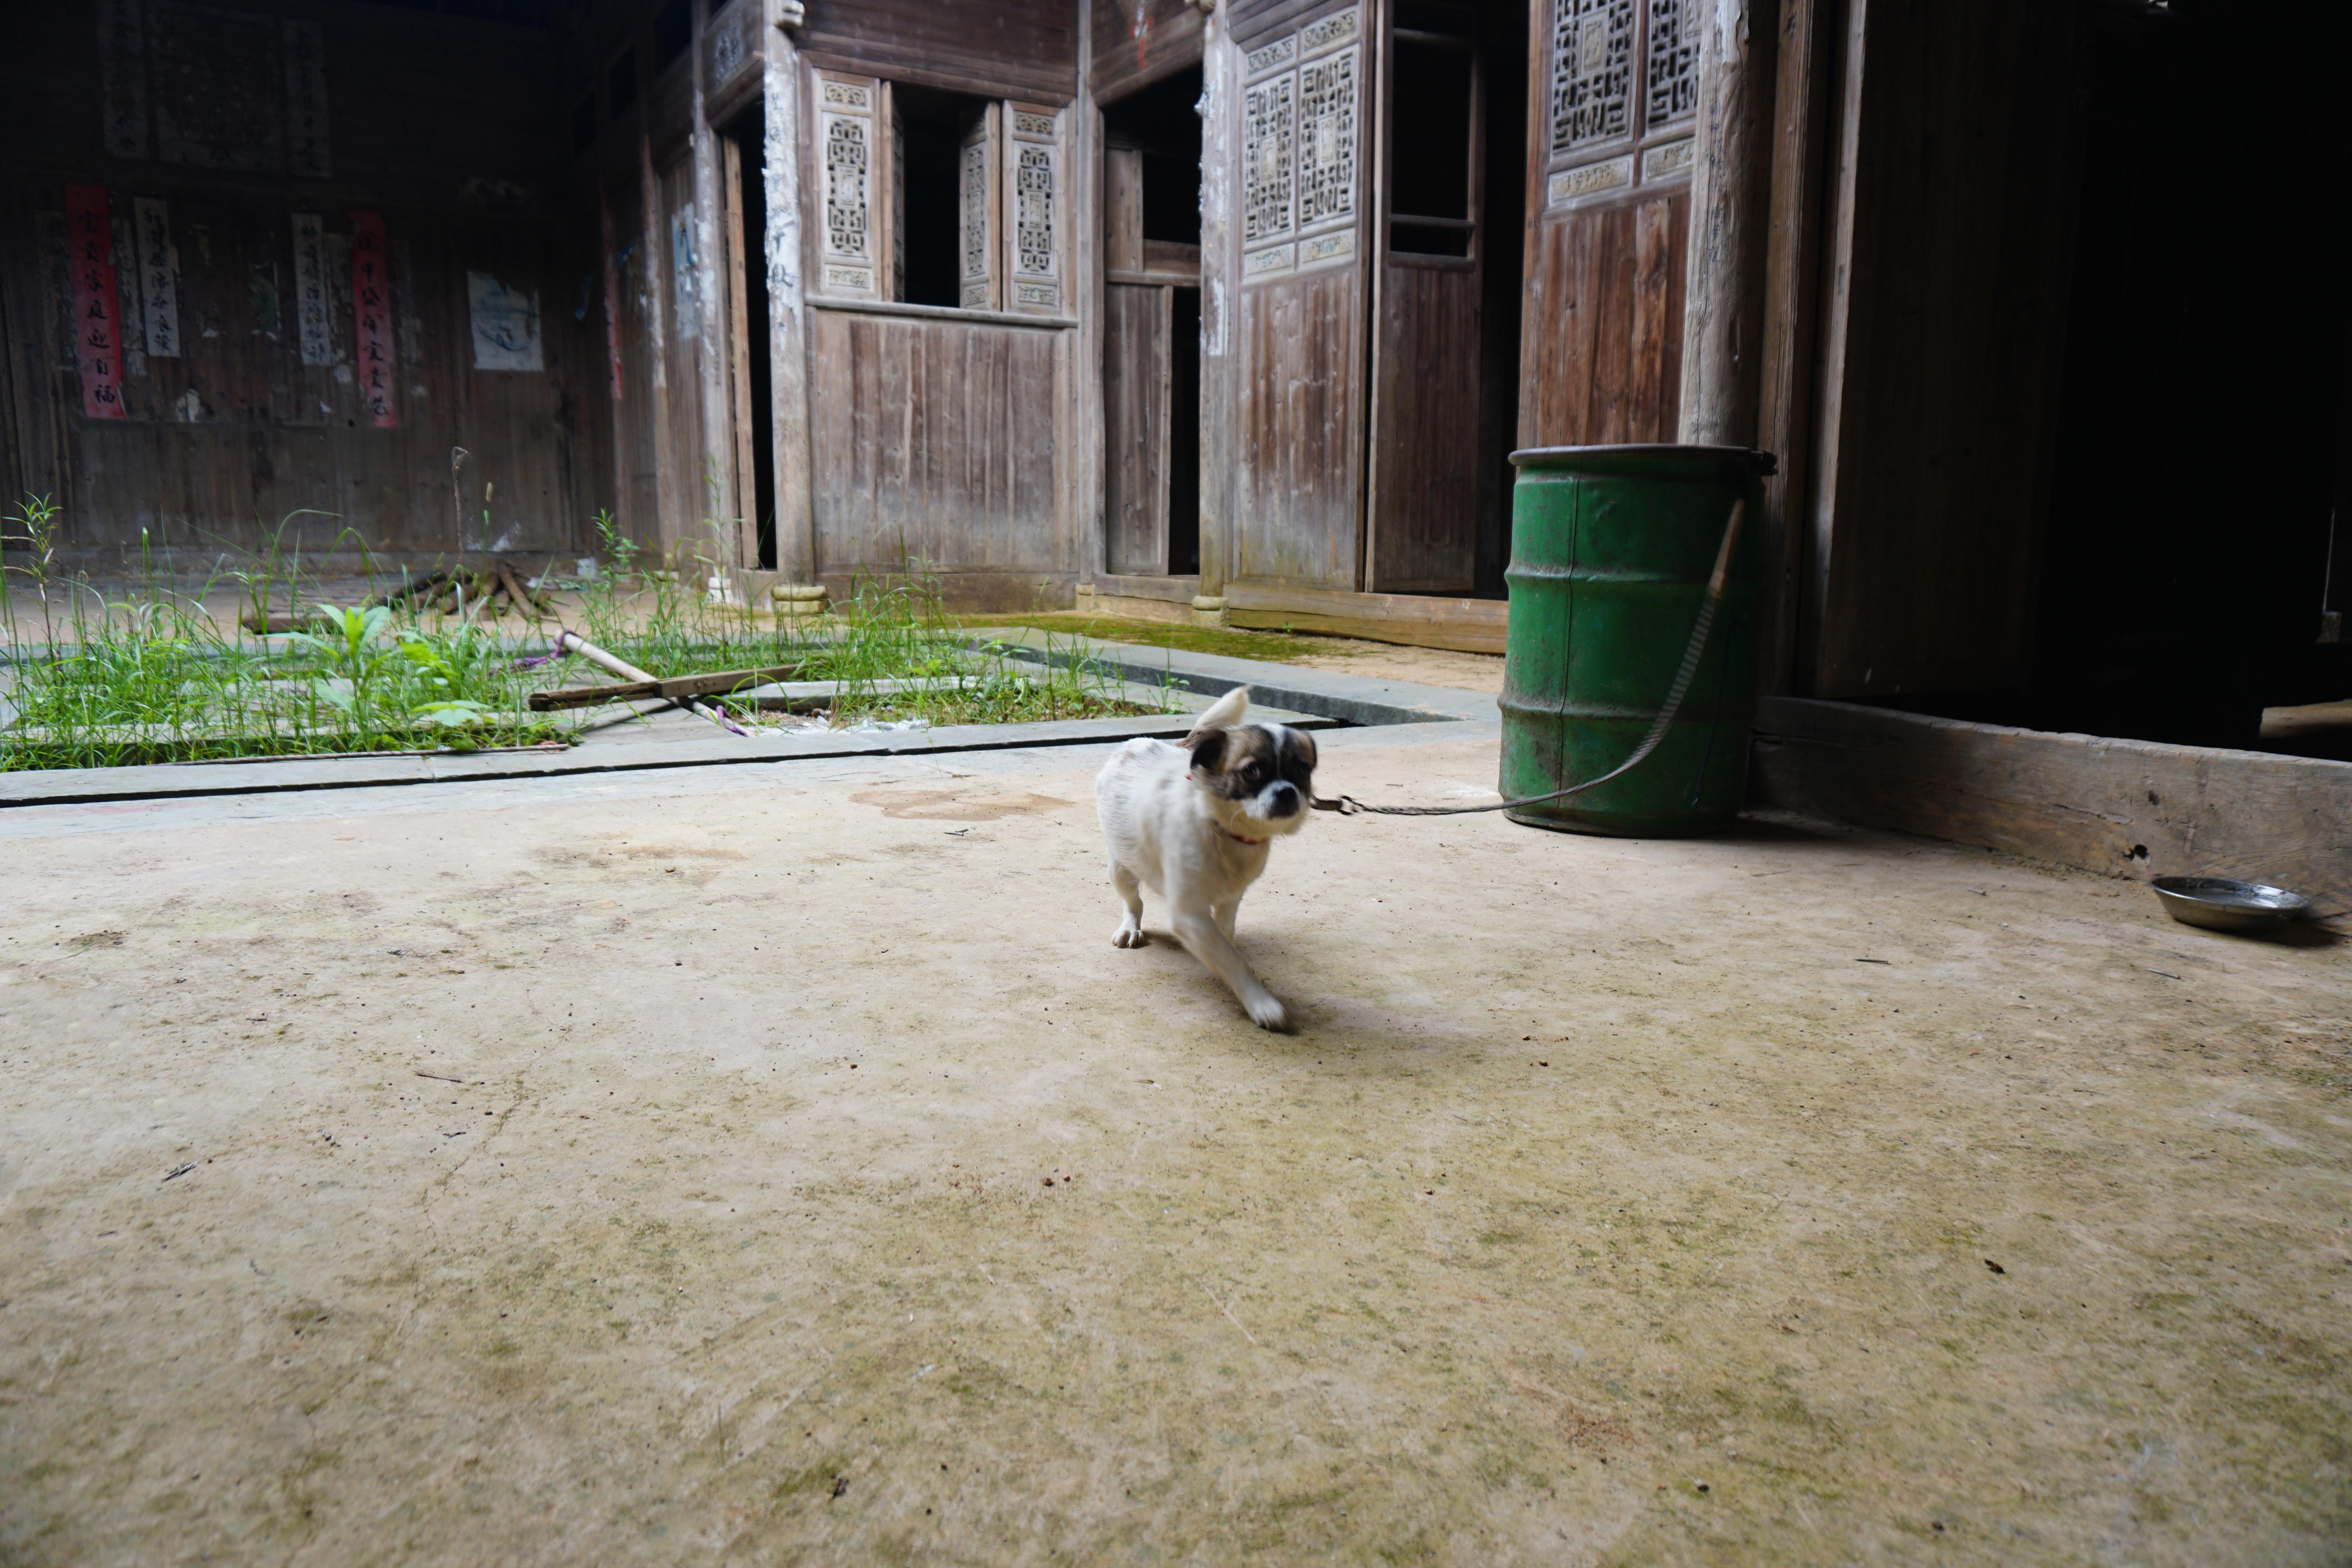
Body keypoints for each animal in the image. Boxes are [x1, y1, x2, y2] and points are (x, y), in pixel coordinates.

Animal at [1091, 686, 1317, 1029]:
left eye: (1303, 770)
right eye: (1251, 771)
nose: (1287, 793)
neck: (1222, 831)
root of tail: (1138, 743)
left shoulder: (1231, 900)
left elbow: (1225, 940)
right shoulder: (1189, 914)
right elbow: (1230, 958)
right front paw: (1260, 1002)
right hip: (1120, 867)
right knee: (1134, 901)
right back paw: (1131, 926)